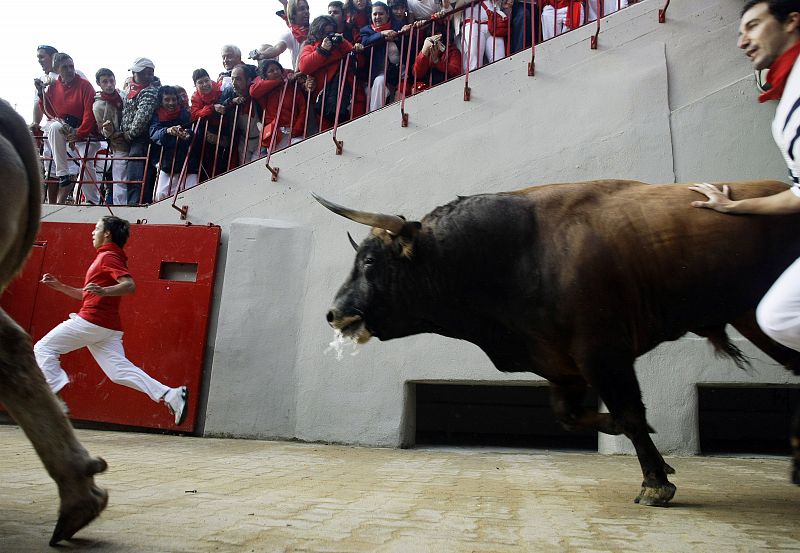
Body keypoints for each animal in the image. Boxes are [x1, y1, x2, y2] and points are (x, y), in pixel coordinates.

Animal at [316, 180, 800, 504]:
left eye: (370, 260)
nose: (334, 314)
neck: (515, 251)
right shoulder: (563, 365)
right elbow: (574, 416)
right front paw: (653, 458)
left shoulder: (603, 352)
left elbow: (629, 412)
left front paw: (655, 483)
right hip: (754, 318)